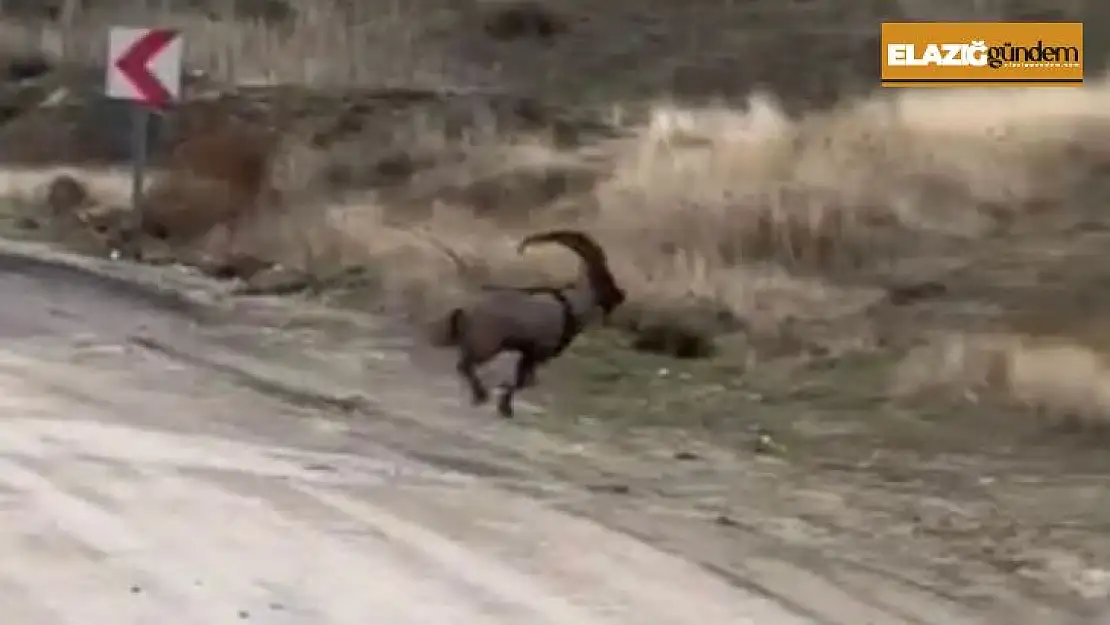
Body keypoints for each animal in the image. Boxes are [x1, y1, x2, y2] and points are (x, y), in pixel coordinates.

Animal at [430, 227, 626, 417]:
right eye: (606, 278)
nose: (621, 295)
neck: (571, 306)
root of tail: (465, 308)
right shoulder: (537, 352)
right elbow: (522, 382)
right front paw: (506, 408)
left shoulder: (527, 353)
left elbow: (524, 381)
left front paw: (505, 405)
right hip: (486, 345)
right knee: (464, 365)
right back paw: (481, 395)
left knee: (464, 364)